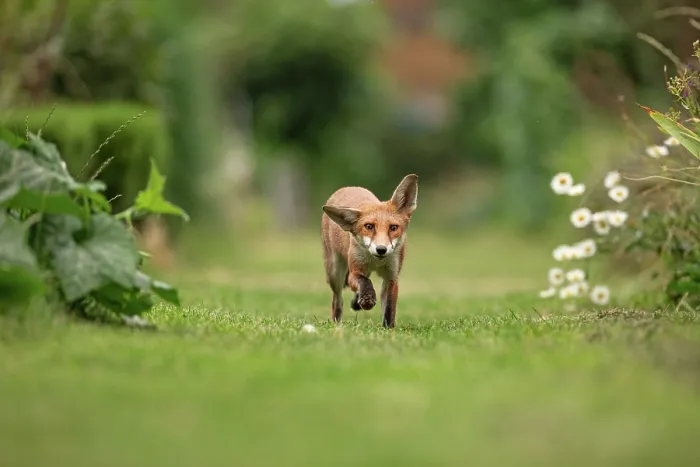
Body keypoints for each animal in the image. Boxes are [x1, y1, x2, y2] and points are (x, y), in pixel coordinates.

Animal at [321, 174, 418, 328]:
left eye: (393, 228)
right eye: (369, 226)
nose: (381, 249)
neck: (376, 262)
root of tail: (349, 187)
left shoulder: (392, 276)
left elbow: (389, 308)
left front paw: (388, 328)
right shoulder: (355, 271)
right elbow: (364, 281)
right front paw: (367, 298)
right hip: (335, 274)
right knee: (337, 300)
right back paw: (337, 323)